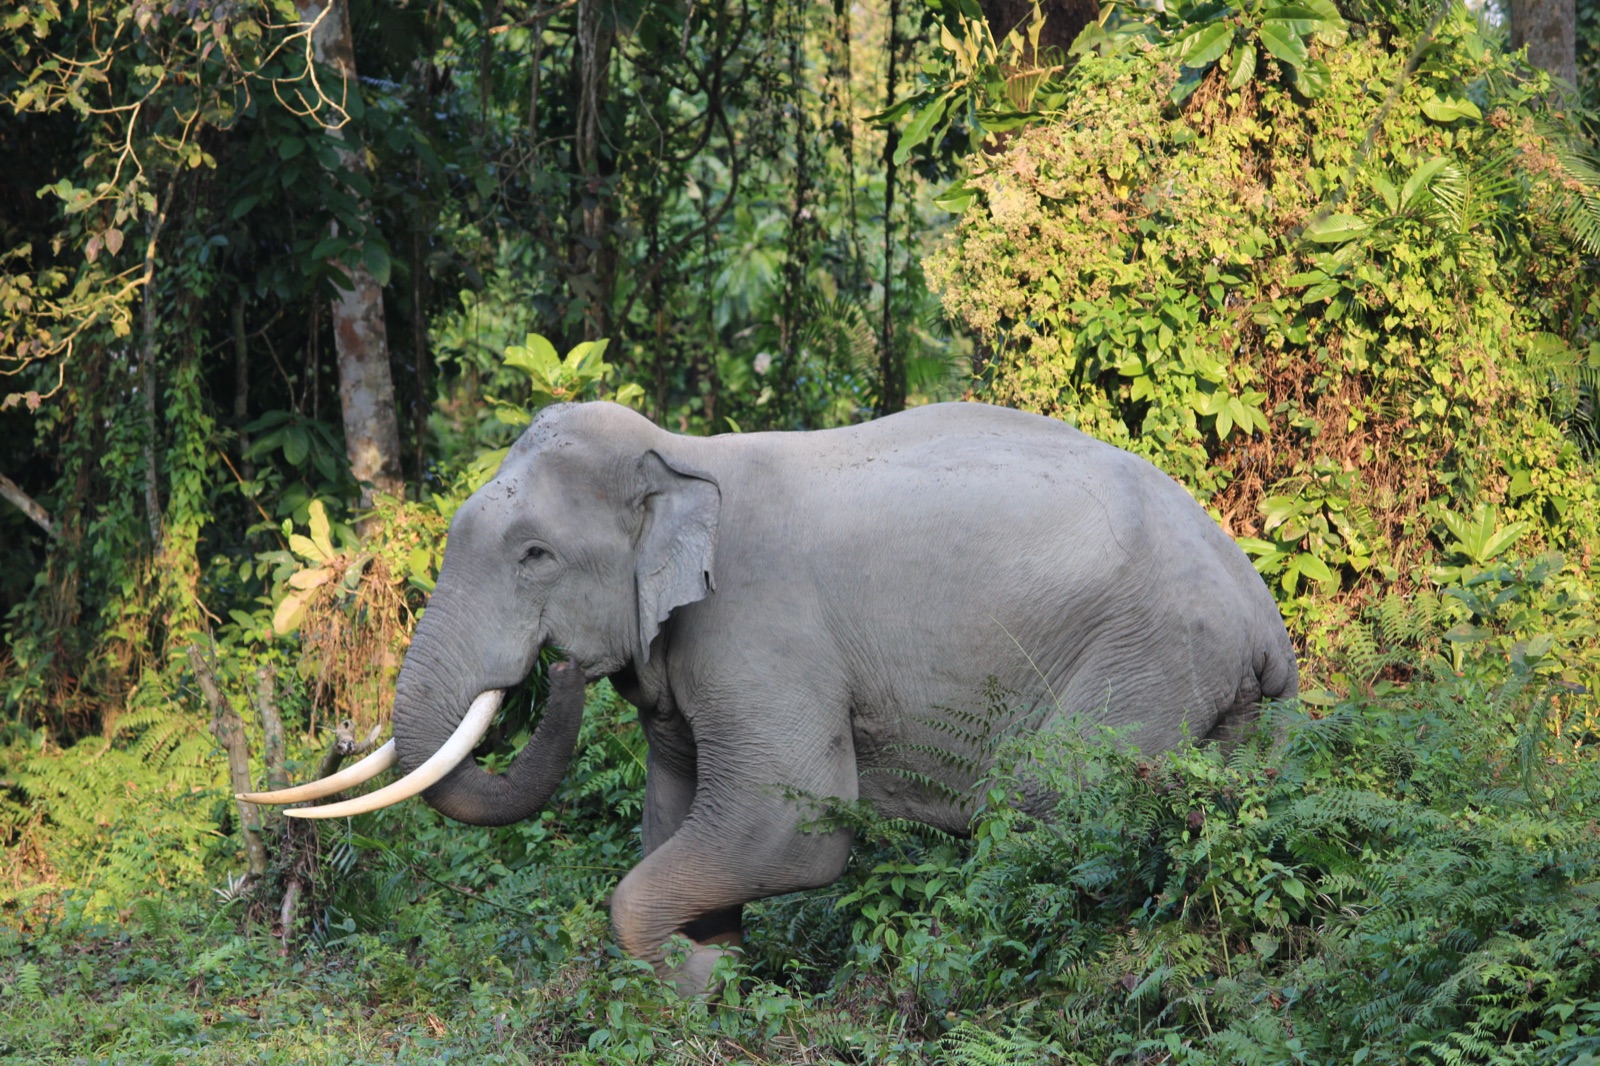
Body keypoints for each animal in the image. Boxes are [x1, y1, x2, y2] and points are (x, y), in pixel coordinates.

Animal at [243, 400, 1297, 993]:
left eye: (535, 555)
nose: (560, 670)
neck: (680, 454)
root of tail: (1265, 620)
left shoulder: (759, 631)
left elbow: (792, 824)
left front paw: (692, 980)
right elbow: (675, 812)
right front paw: (717, 972)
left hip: (1143, 660)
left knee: (1053, 809)